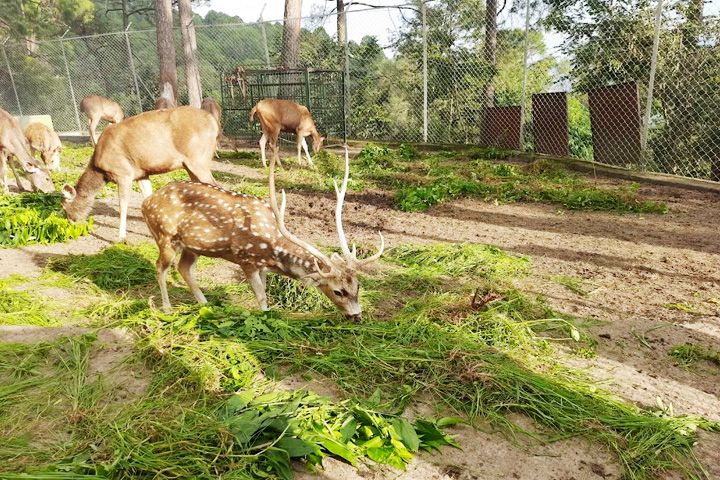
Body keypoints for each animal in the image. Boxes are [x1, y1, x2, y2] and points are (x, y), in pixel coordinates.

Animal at [61, 106, 219, 241]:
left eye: (64, 207)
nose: (71, 223)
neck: (100, 170)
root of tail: (214, 122)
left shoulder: (123, 173)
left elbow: (123, 204)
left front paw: (121, 237)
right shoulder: (141, 174)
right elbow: (147, 199)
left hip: (198, 160)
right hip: (190, 165)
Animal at [142, 147, 384, 320]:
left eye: (358, 286)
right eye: (338, 291)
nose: (357, 316)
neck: (271, 247)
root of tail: (146, 203)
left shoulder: (263, 267)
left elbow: (264, 292)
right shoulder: (245, 259)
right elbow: (261, 297)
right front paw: (266, 317)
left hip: (192, 246)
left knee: (184, 268)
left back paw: (206, 305)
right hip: (164, 236)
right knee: (160, 267)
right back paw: (167, 308)